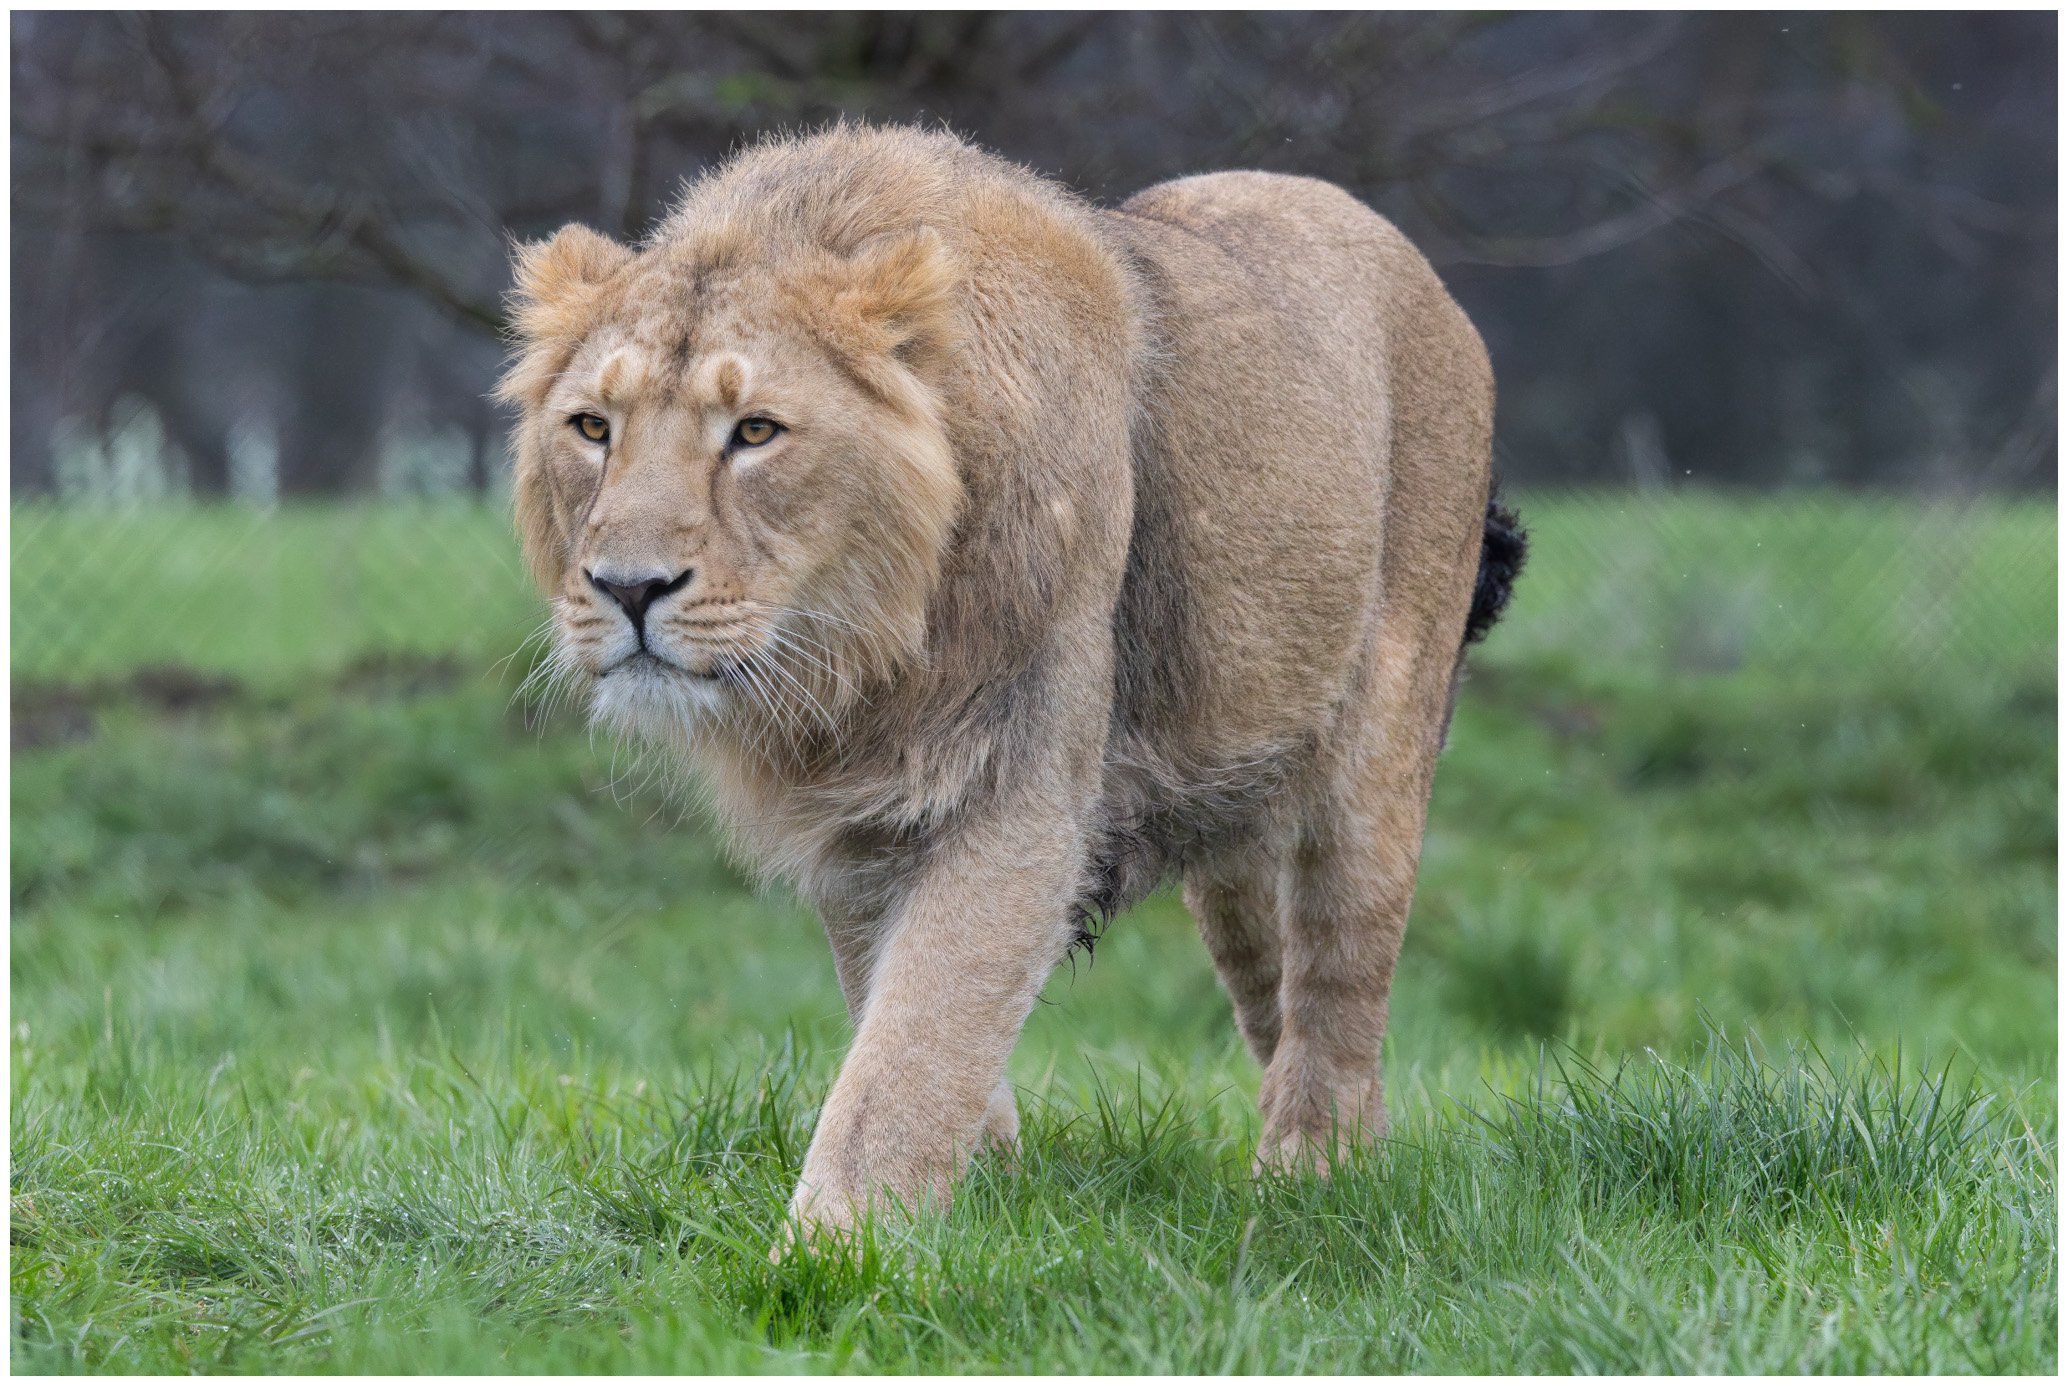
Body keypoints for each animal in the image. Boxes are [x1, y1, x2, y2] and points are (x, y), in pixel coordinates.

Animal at [497, 124, 1524, 1241]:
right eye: (593, 428)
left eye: (756, 431)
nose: (628, 587)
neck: (863, 654)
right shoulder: (858, 824)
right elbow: (906, 1018)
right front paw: (980, 1189)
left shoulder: (1015, 788)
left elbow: (909, 1047)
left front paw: (834, 1247)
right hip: (1236, 796)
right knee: (1275, 984)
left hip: (1378, 747)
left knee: (1339, 980)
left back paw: (1315, 1179)